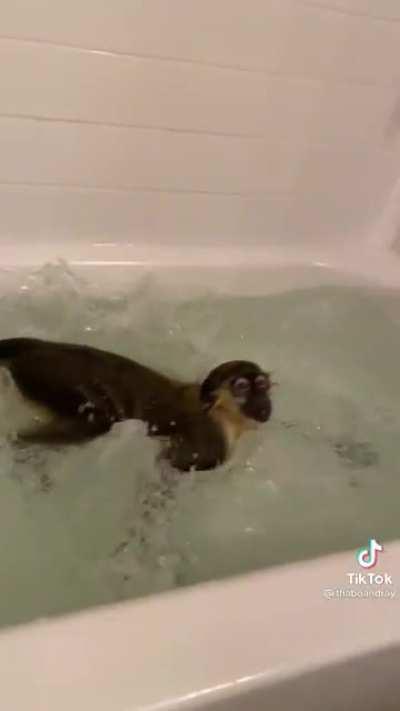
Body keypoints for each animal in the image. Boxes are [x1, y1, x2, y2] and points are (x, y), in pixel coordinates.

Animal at [0, 337, 273, 471]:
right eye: (242, 388)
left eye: (261, 385)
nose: (263, 403)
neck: (222, 414)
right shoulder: (210, 443)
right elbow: (172, 463)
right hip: (51, 374)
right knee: (98, 421)